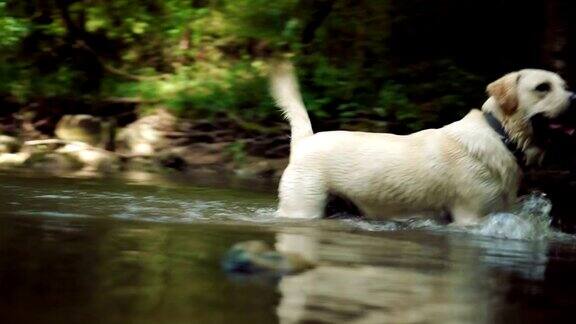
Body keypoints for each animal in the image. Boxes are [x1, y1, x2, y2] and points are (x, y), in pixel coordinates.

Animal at [272, 62, 576, 225]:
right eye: (542, 87)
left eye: (564, 85)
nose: (575, 98)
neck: (500, 135)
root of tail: (306, 140)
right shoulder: (471, 216)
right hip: (303, 206)